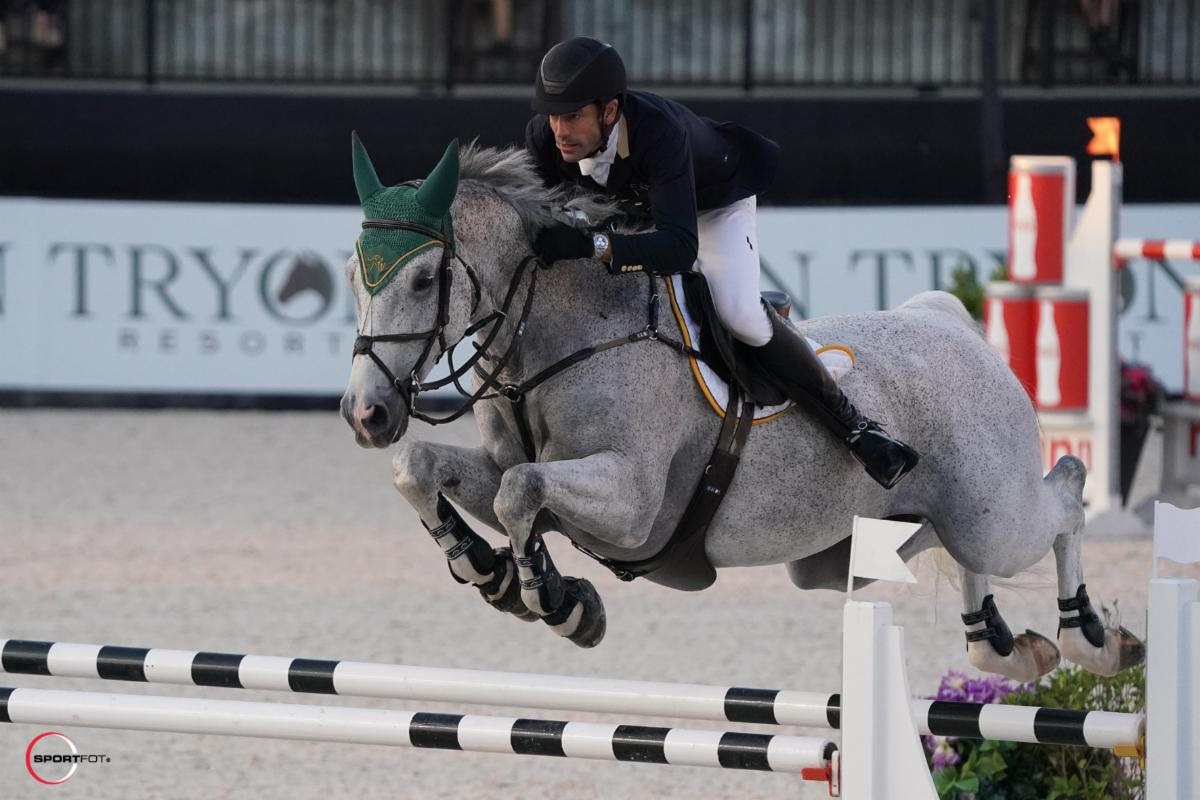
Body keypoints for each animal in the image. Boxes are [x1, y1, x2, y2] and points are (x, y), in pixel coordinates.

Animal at [339, 136, 1144, 683]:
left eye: (422, 279)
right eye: (353, 273)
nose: (365, 414)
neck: (561, 339)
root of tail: (949, 322)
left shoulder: (632, 505)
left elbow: (520, 492)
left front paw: (554, 598)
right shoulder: (509, 468)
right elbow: (426, 469)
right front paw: (488, 571)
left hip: (993, 513)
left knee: (1064, 496)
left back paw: (1090, 638)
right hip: (864, 547)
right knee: (959, 552)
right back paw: (1000, 645)